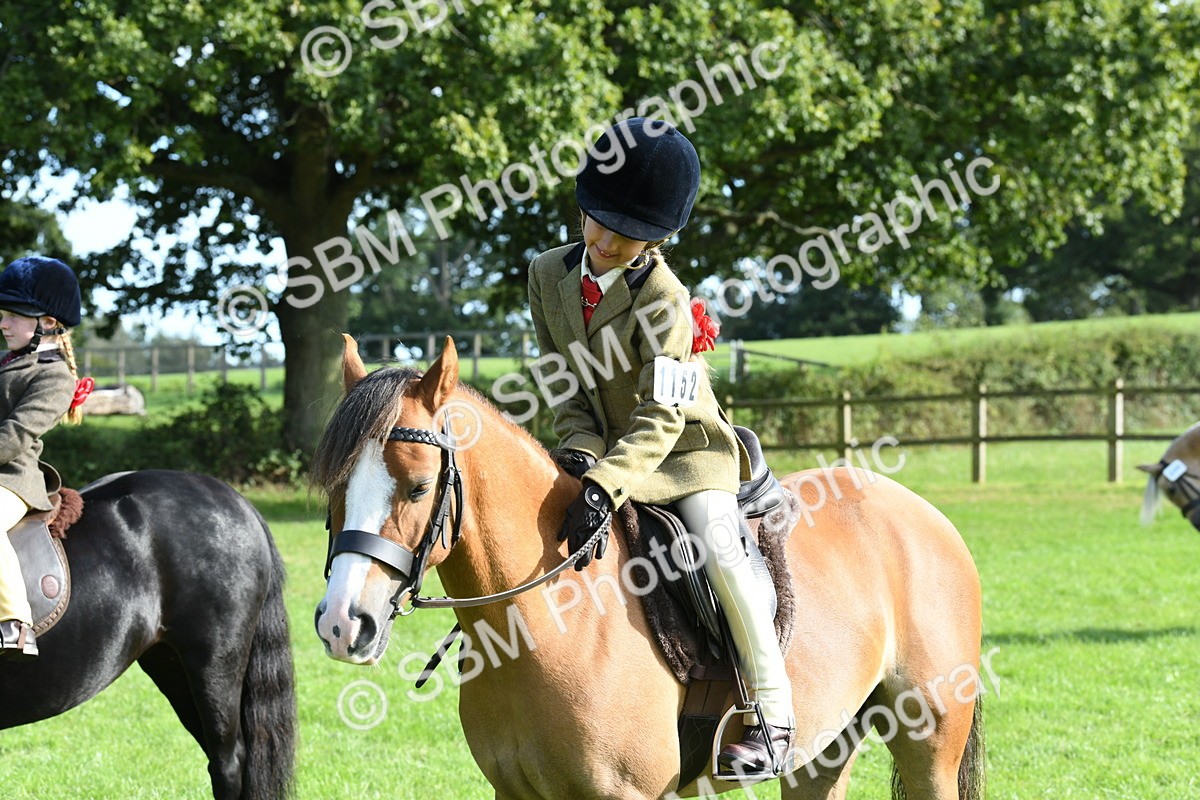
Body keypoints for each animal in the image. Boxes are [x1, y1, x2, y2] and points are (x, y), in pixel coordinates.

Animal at [312, 335, 985, 800]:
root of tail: (927, 515)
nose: (343, 624)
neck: (544, 619)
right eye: (334, 489)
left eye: (420, 487)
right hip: (823, 753)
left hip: (929, 742)